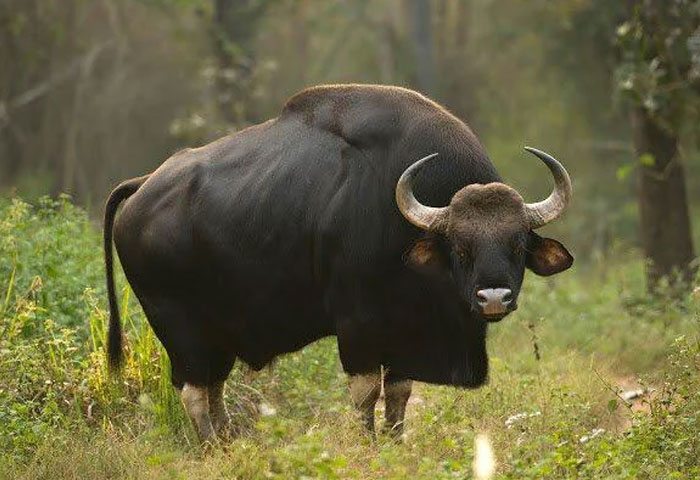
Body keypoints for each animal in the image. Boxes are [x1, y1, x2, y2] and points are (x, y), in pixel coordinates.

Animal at [104, 84, 573, 442]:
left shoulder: (406, 334)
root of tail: (144, 185)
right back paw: (212, 447)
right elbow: (366, 394)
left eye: (517, 244)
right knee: (194, 392)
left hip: (216, 334)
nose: (493, 297)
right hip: (180, 330)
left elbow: (399, 394)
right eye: (459, 247)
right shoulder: (357, 326)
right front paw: (367, 443)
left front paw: (394, 443)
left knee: (214, 387)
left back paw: (229, 443)